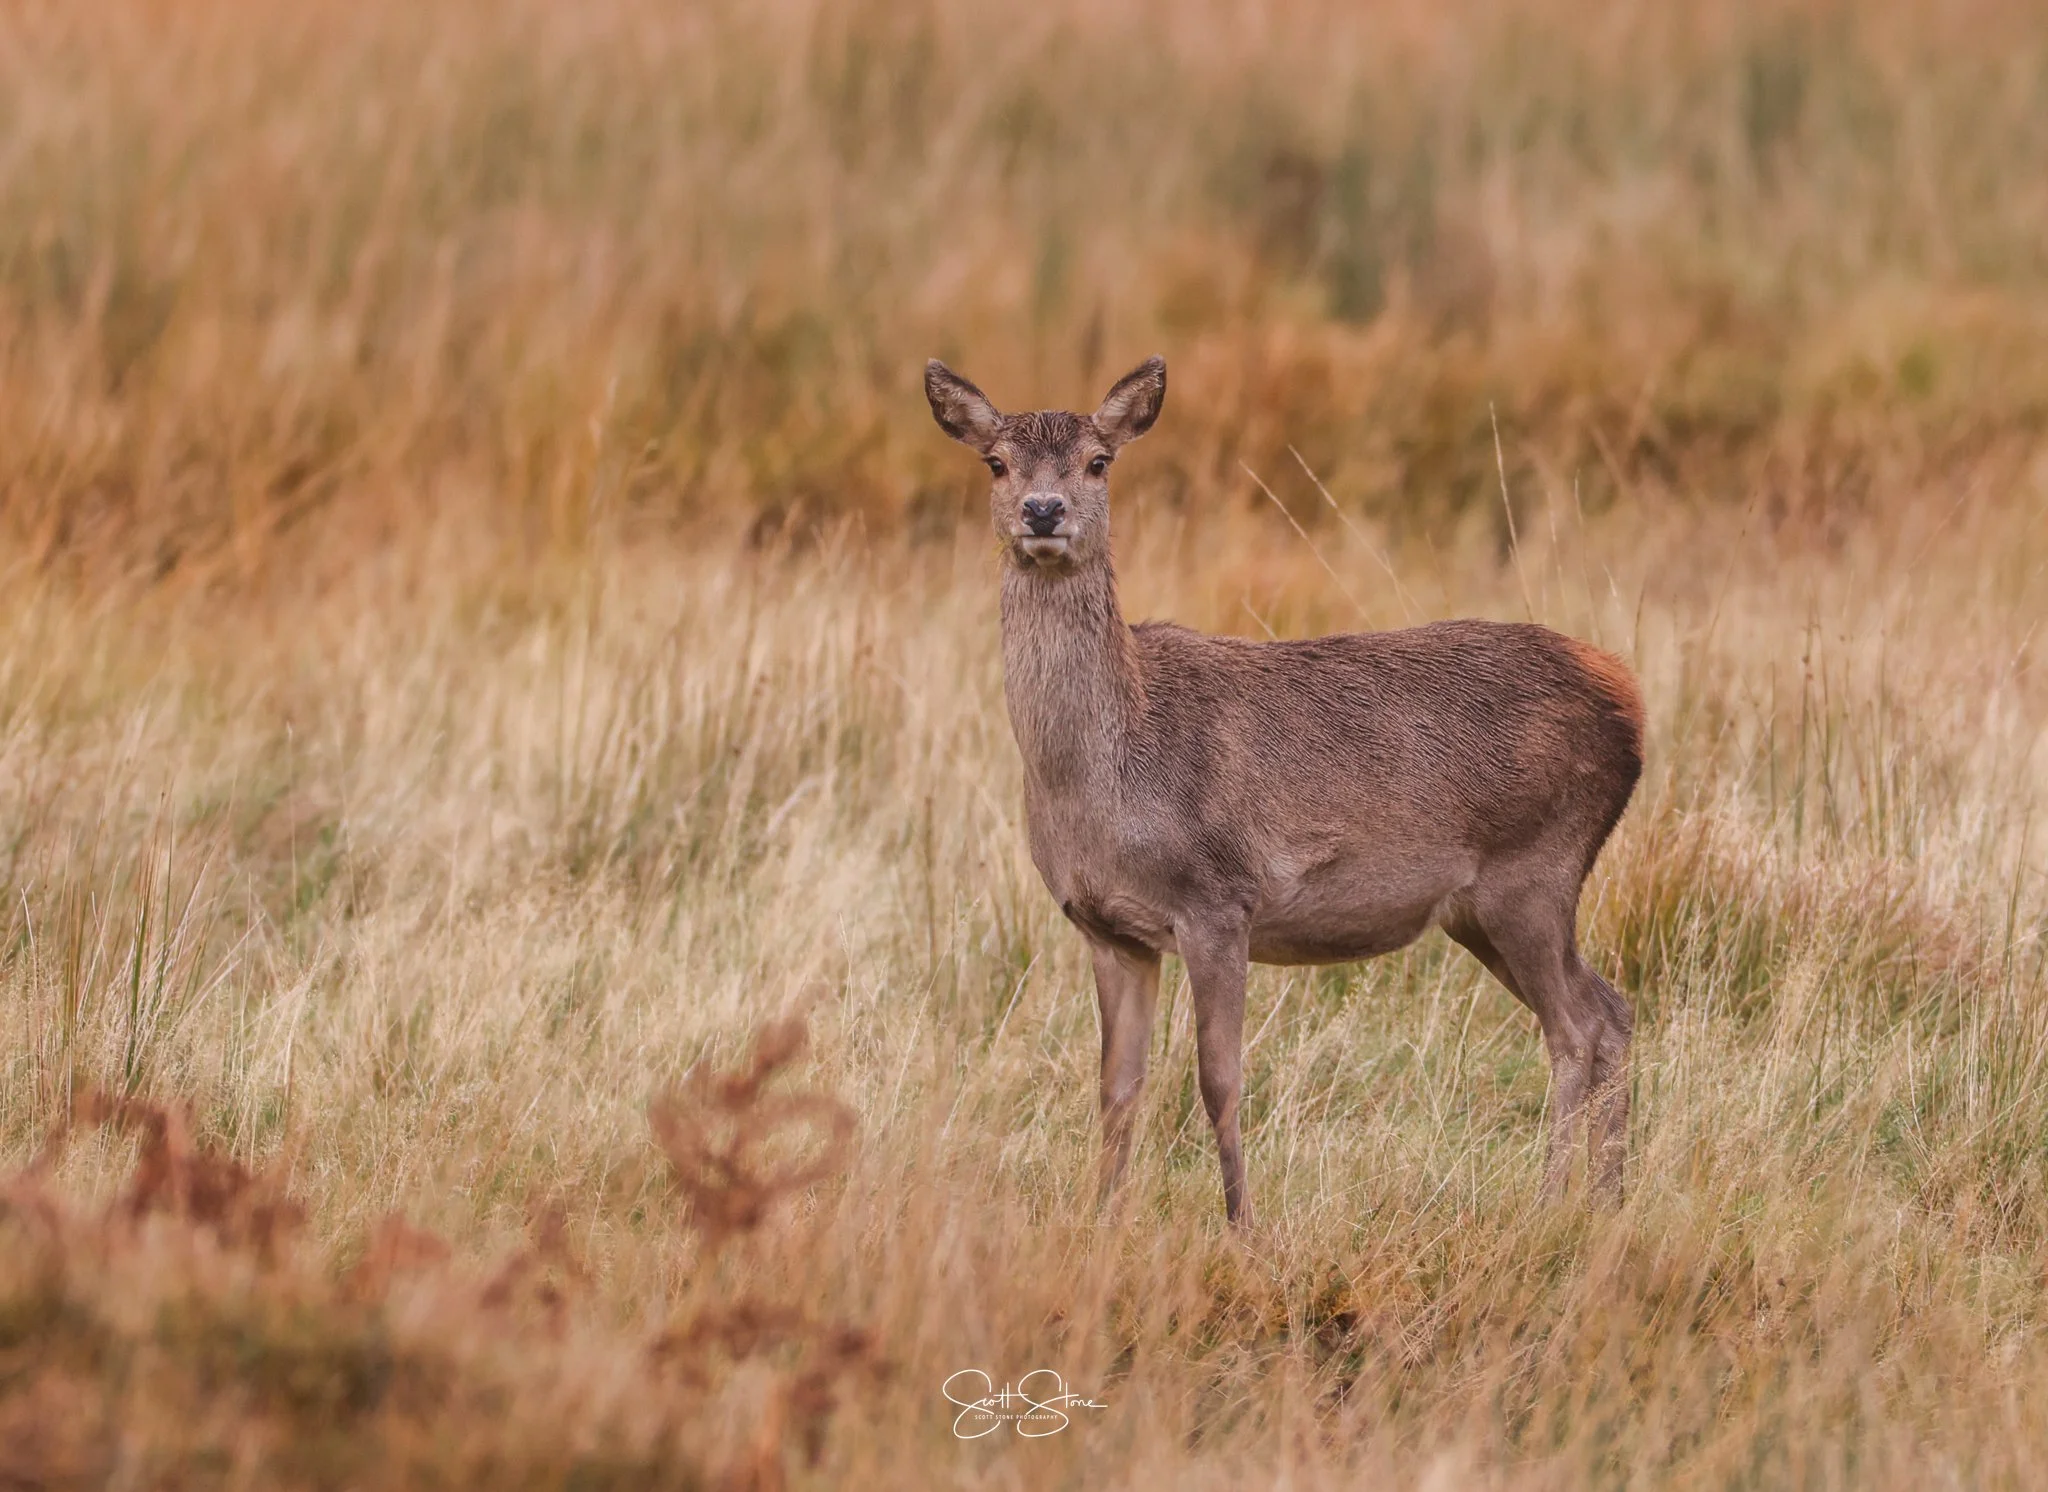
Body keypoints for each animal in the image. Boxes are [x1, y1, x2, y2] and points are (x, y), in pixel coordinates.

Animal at [925, 355, 1644, 1225]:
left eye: (1099, 462)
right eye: (996, 463)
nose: (1042, 510)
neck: (1107, 776)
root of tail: (1631, 702)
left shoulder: (1217, 899)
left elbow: (1219, 1081)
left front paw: (1243, 1226)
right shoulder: (1109, 930)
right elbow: (1116, 1089)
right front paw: (1102, 1219)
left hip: (1534, 868)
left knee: (1576, 1027)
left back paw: (1549, 1205)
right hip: (1481, 909)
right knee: (1611, 1011)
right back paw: (1607, 1203)